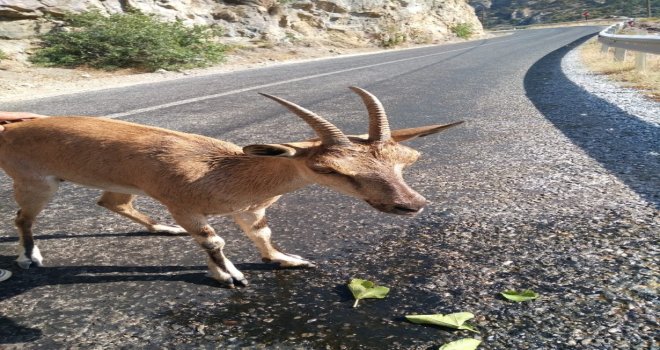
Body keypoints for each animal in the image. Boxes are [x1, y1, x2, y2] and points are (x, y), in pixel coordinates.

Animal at [0, 87, 462, 288]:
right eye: (328, 169)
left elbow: (262, 234)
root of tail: (9, 128)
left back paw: (161, 230)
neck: (226, 174)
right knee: (22, 217)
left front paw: (285, 260)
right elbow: (213, 240)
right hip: (35, 181)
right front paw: (229, 276)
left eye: (407, 160)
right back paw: (29, 257)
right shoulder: (183, 203)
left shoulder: (250, 208)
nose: (410, 204)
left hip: (117, 182)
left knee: (110, 199)